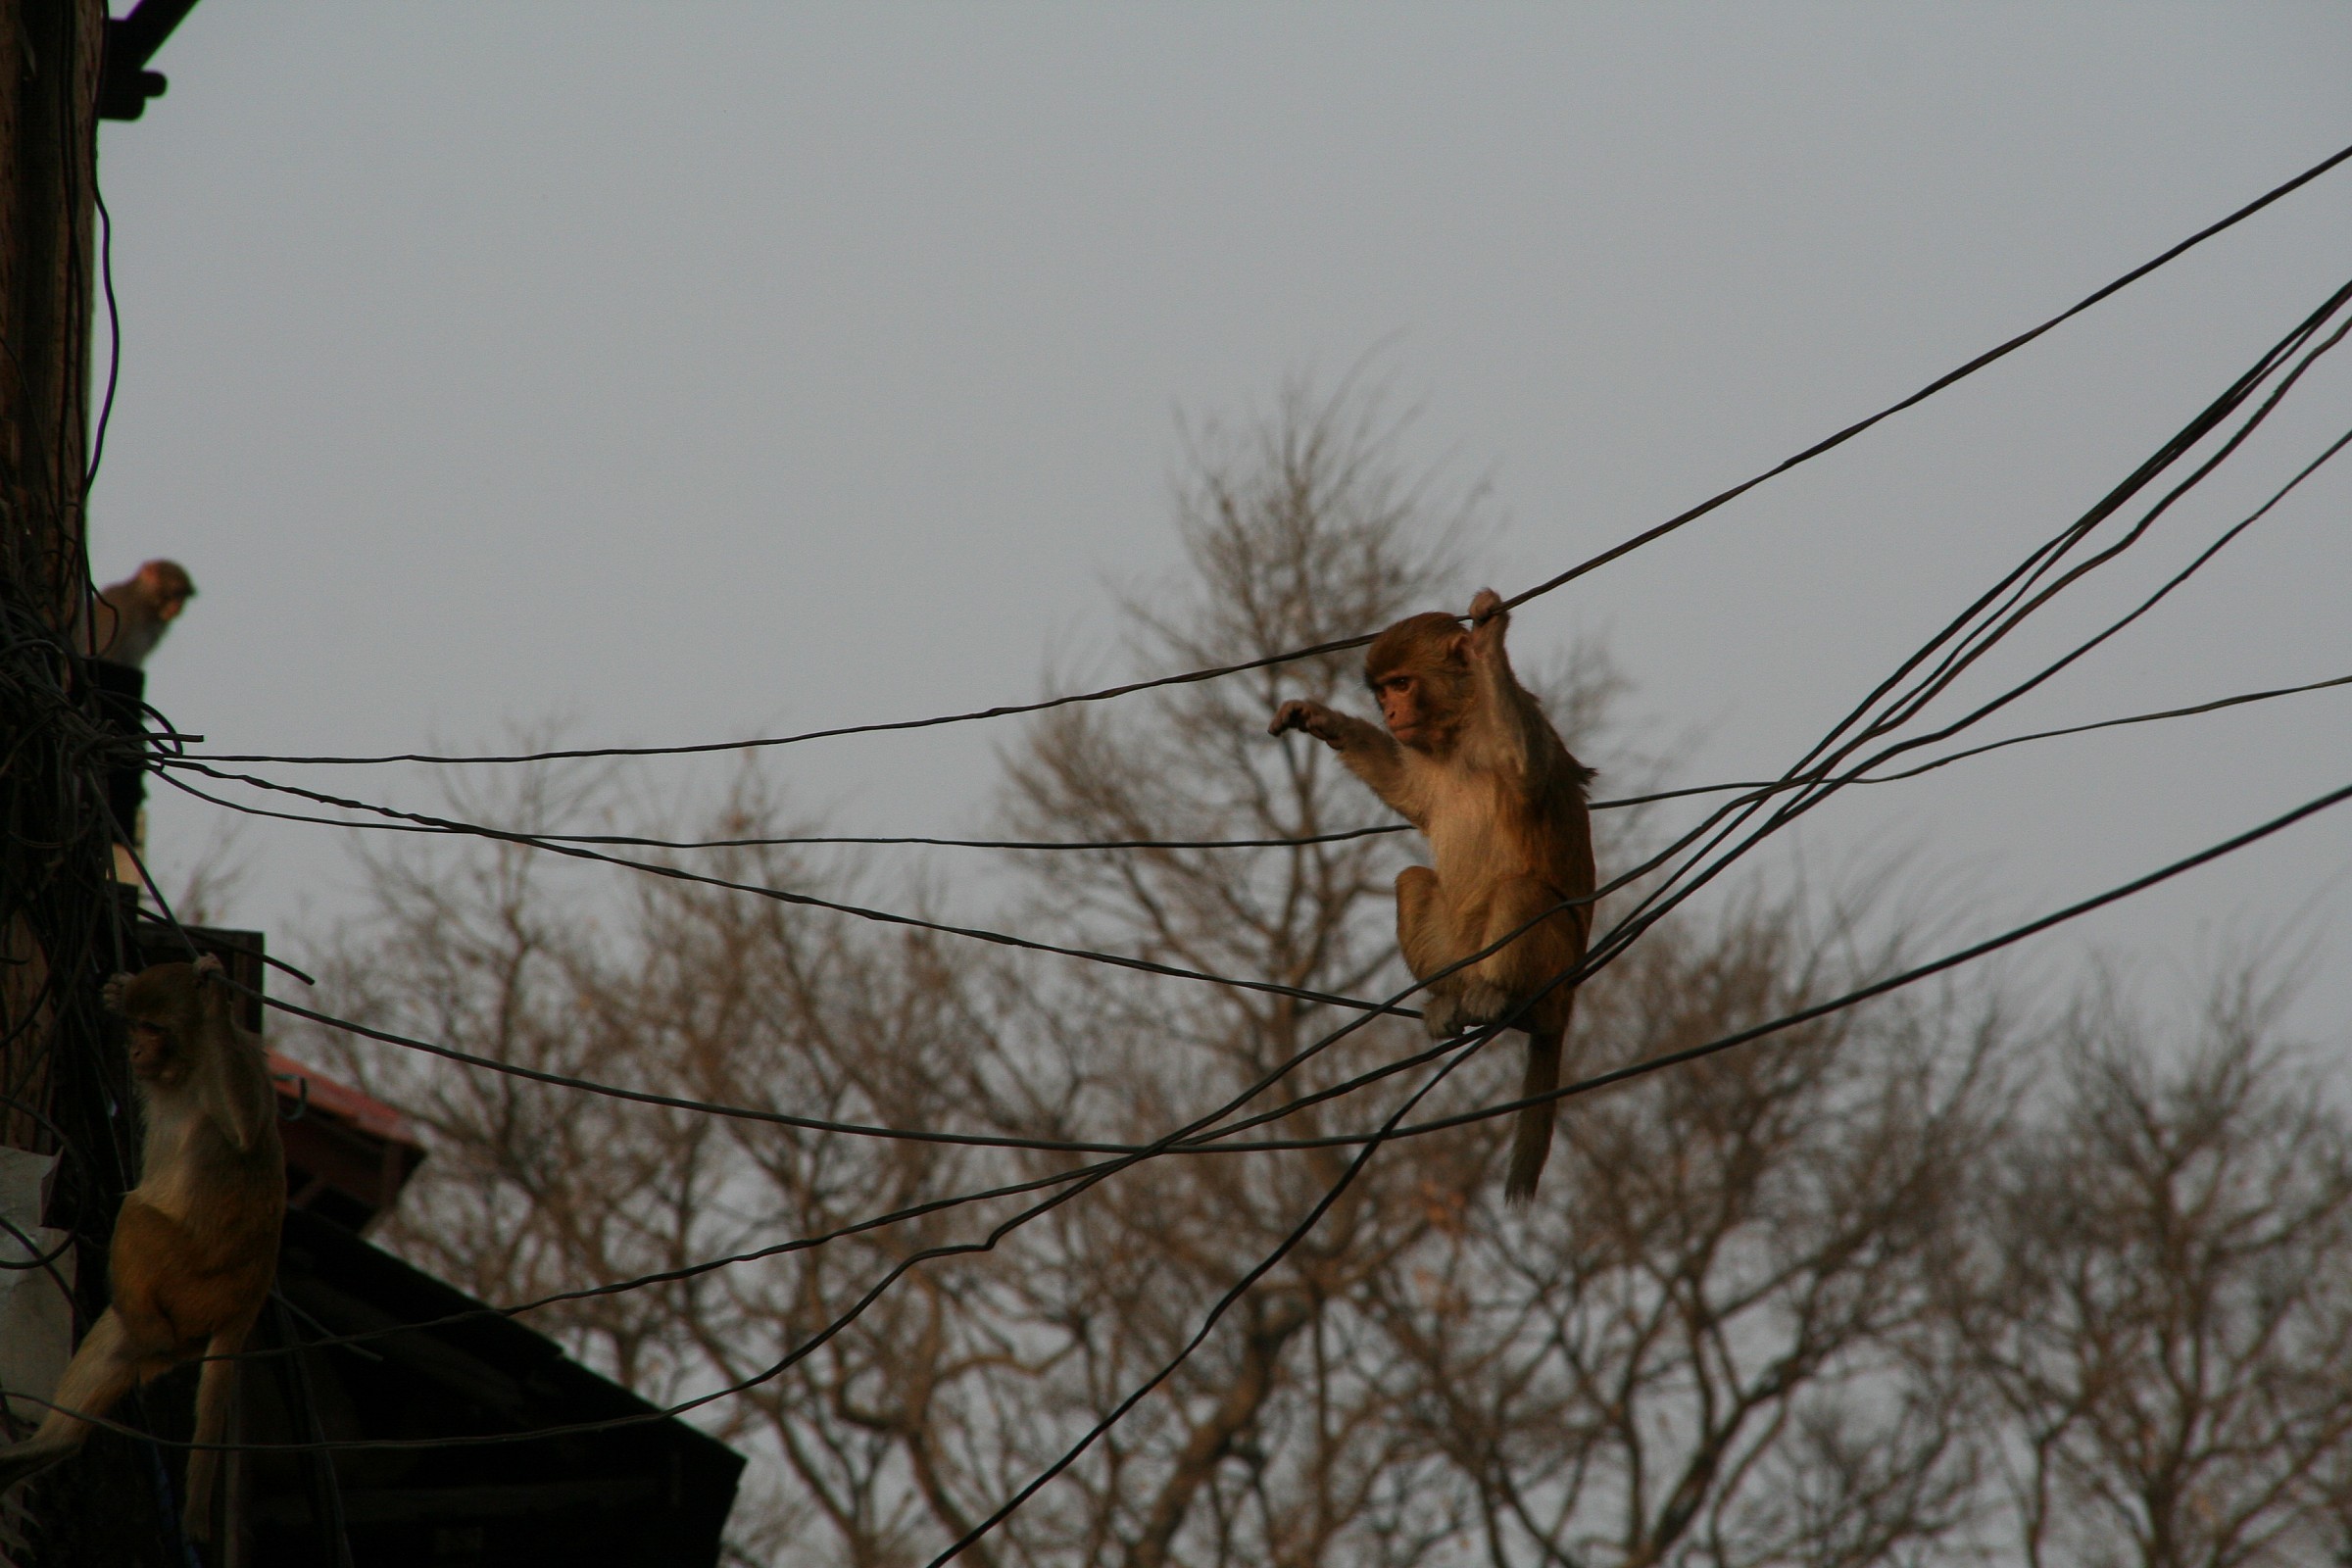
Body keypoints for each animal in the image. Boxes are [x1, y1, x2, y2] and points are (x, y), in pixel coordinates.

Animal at [0, 950, 284, 1542]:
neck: (190, 1065)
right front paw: (115, 990)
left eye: (154, 1030)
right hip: (191, 1316)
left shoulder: (240, 1061)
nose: (133, 1050)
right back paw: (54, 1444)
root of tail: (249, 1296)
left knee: (136, 1216)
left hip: (196, 1280)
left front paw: (214, 998)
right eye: (135, 1027)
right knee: (119, 1340)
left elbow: (246, 1131)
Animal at [1270, 587, 1599, 1203]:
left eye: (1401, 684)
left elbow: (1526, 768)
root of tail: (1564, 1001)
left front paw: (1489, 641)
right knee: (1414, 882)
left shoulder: (1519, 725)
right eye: (1382, 691)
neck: (1459, 730)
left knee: (1522, 891)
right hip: (1462, 950)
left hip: (1555, 964)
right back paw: (1450, 998)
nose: (1390, 713)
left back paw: (1501, 995)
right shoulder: (1424, 758)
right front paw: (1320, 719)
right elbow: (1407, 790)